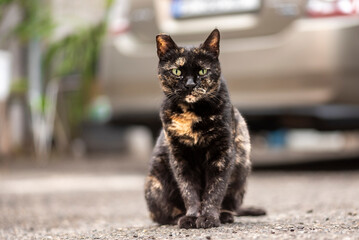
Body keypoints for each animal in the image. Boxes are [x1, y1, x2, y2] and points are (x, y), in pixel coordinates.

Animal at [145, 28, 266, 229]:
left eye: (202, 71)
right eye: (177, 71)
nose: (190, 84)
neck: (192, 115)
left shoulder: (222, 154)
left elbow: (214, 190)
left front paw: (209, 217)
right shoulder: (180, 158)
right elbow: (189, 191)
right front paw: (192, 217)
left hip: (242, 168)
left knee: (231, 203)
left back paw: (225, 215)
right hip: (156, 183)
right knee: (162, 216)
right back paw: (178, 218)